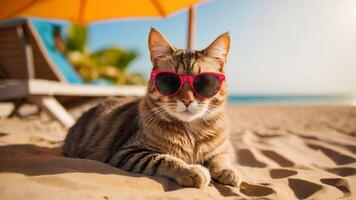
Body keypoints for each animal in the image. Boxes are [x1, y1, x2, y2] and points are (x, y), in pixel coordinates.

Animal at [63, 28, 242, 188]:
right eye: (169, 82)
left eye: (204, 83)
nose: (187, 100)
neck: (192, 134)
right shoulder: (128, 152)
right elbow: (166, 159)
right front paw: (191, 170)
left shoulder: (225, 147)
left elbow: (220, 158)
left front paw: (228, 170)